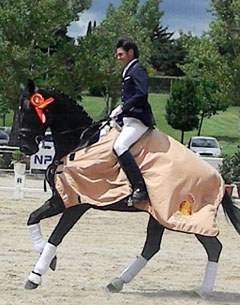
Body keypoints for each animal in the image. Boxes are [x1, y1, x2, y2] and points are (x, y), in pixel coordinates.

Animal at [18, 79, 240, 296]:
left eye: (28, 110)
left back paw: (204, 290)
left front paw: (35, 276)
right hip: (158, 215)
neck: (82, 142)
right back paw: (117, 282)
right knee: (152, 246)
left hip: (187, 216)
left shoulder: (76, 203)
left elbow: (56, 236)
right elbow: (32, 218)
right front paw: (48, 260)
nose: (25, 148)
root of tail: (219, 178)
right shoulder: (62, 198)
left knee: (213, 247)